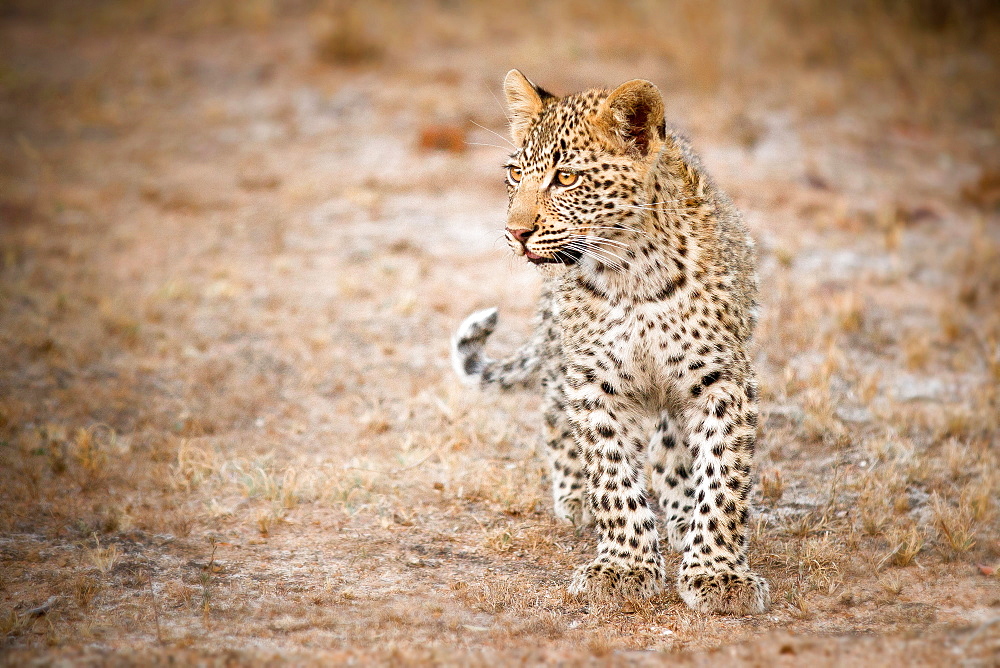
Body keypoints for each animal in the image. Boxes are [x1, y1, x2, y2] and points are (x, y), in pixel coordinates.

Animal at [454, 69, 772, 616]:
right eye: (515, 174)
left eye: (566, 179)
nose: (515, 232)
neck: (630, 272)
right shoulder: (593, 381)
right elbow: (612, 476)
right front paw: (625, 566)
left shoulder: (721, 380)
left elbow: (723, 480)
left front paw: (718, 573)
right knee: (553, 410)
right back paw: (577, 498)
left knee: (670, 447)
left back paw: (680, 513)